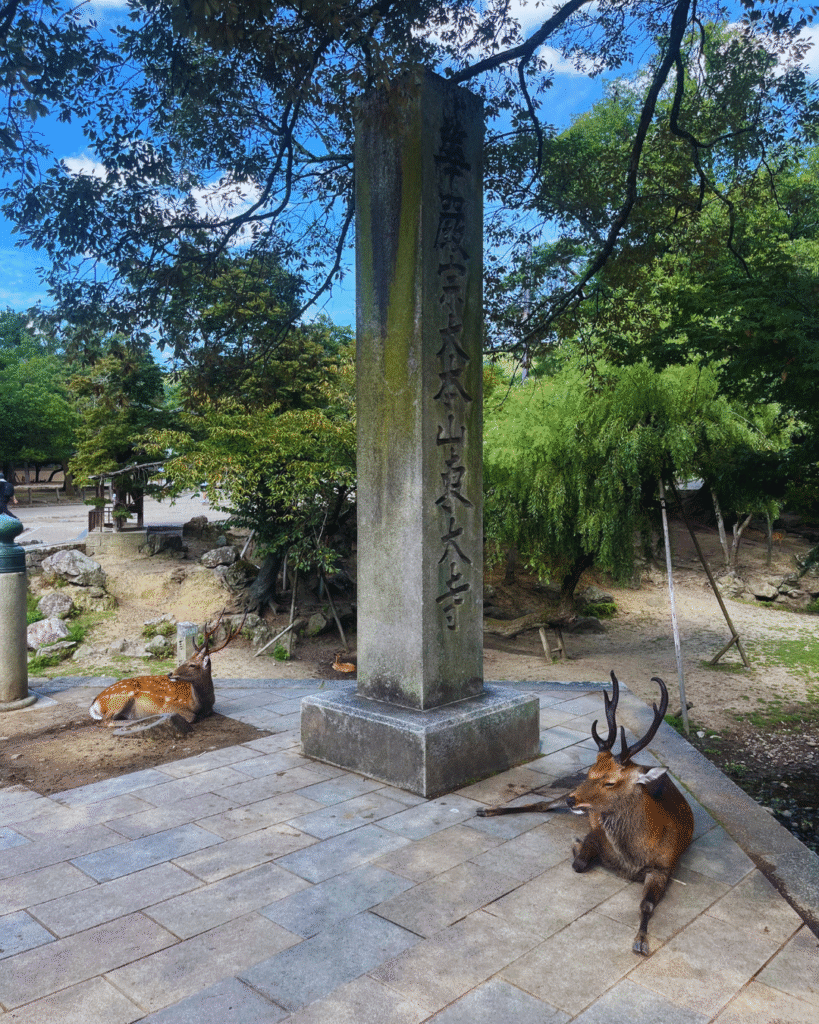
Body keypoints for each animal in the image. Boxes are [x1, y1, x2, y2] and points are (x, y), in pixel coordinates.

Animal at [89, 612, 245, 731]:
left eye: (192, 664)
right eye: (185, 660)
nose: (170, 674)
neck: (200, 704)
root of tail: (95, 703)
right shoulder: (169, 706)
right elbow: (192, 717)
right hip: (121, 699)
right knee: (106, 721)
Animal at [477, 671, 694, 956]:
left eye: (610, 782)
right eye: (591, 771)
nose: (573, 799)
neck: (633, 856)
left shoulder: (665, 867)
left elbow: (646, 905)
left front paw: (641, 941)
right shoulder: (596, 834)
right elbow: (578, 864)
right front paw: (576, 845)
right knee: (541, 804)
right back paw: (486, 810)